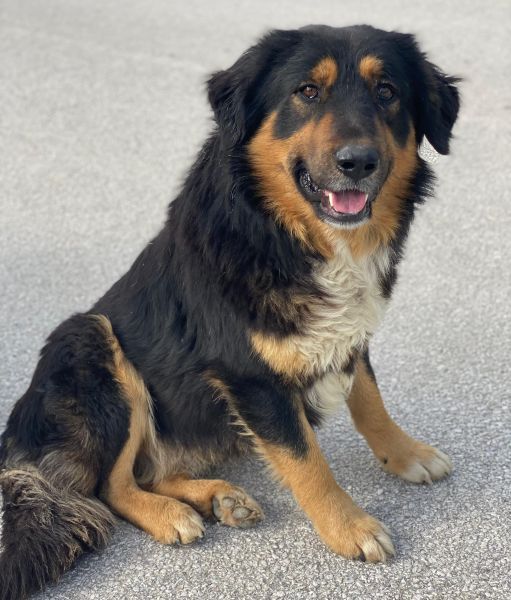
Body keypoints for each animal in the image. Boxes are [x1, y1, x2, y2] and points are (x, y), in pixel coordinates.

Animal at [0, 24, 459, 599]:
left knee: (148, 470)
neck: (289, 234)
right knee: (111, 484)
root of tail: (18, 434)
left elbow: (370, 399)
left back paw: (220, 497)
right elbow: (307, 460)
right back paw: (171, 515)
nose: (358, 162)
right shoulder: (250, 377)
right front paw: (350, 527)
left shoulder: (350, 336)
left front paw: (406, 453)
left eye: (387, 92)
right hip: (91, 339)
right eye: (308, 91)